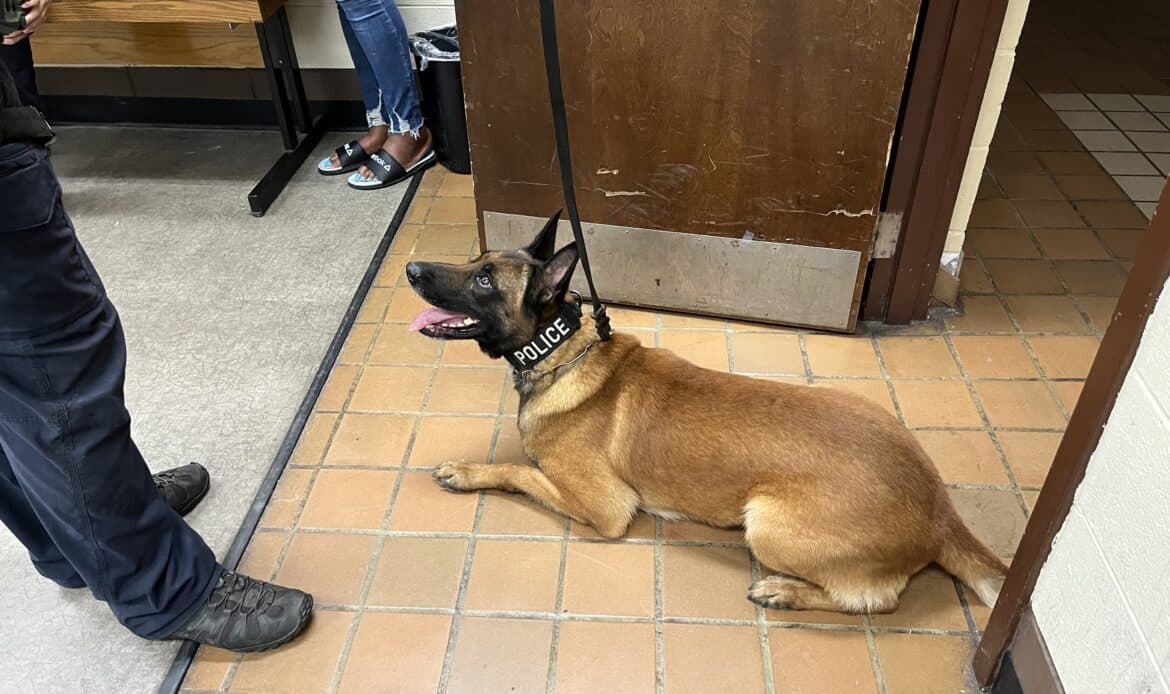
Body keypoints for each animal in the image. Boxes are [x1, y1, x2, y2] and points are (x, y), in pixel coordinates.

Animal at [405, 211, 1007, 614]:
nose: (411, 268)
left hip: (764, 524)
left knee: (874, 601)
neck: (560, 349)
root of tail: (940, 511)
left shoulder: (605, 508)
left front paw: (468, 472)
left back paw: (787, 591)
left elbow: (519, 471)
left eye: (485, 279)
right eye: (475, 262)